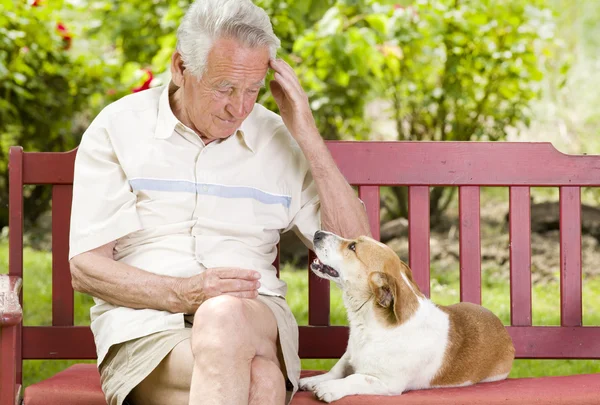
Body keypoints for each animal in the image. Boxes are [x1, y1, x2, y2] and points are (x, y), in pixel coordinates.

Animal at [300, 230, 516, 400]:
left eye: (353, 247)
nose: (317, 232)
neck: (368, 326)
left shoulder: (386, 383)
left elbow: (356, 377)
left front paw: (330, 388)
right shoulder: (349, 355)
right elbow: (337, 369)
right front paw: (313, 380)